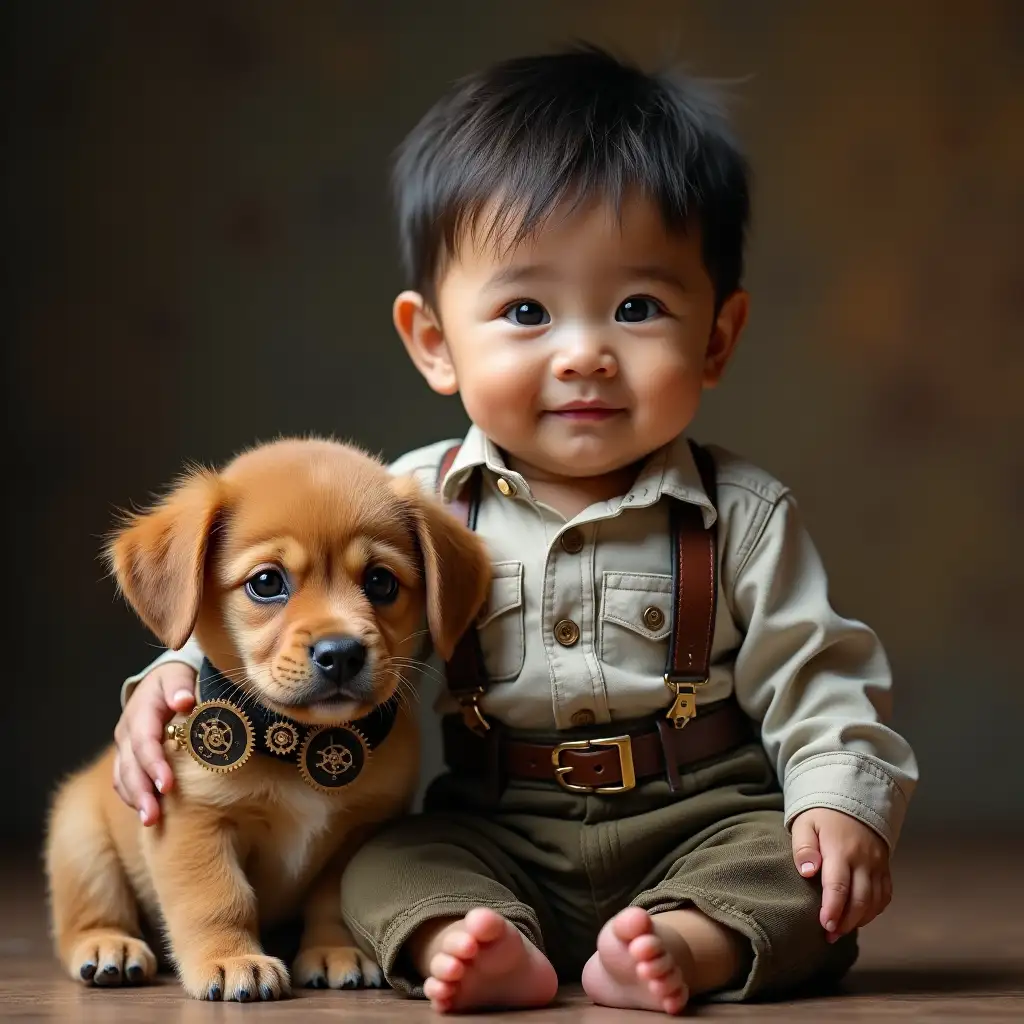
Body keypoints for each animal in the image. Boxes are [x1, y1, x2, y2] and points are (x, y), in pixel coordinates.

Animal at [47, 440, 491, 999]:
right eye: (266, 583)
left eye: (381, 582)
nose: (341, 653)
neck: (298, 742)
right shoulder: (195, 821)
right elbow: (218, 898)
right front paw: (230, 959)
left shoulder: (358, 831)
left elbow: (332, 902)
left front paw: (334, 952)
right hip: (81, 841)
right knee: (89, 916)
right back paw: (109, 946)